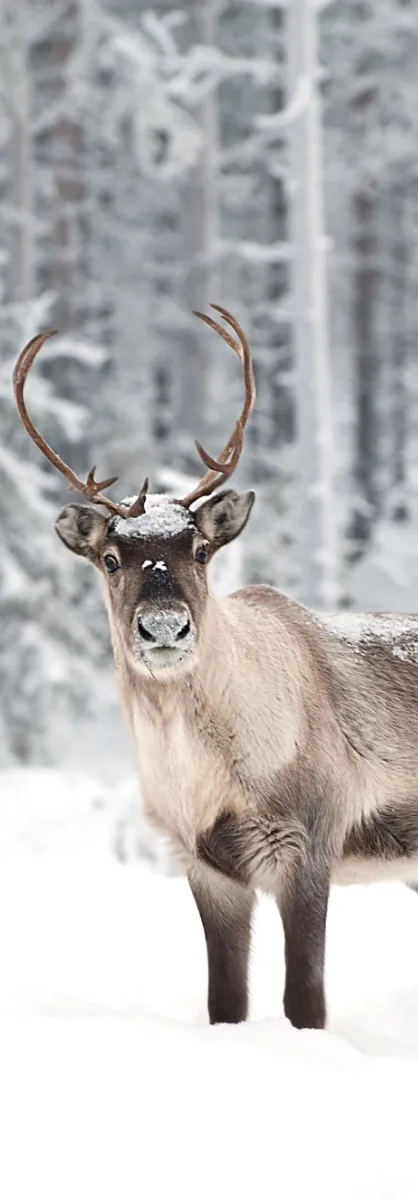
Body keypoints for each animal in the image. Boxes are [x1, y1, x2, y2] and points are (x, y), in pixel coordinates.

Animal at [13, 306, 418, 1032]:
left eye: (200, 549)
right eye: (110, 559)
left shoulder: (306, 842)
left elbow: (304, 1002)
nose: (164, 627)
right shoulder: (204, 864)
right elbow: (224, 1002)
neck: (205, 774)